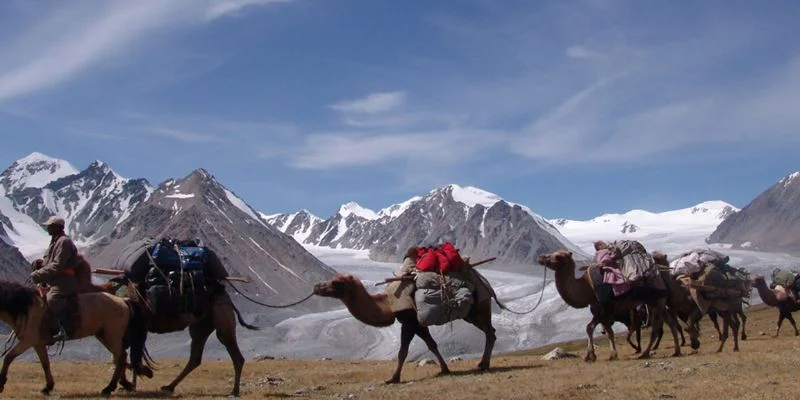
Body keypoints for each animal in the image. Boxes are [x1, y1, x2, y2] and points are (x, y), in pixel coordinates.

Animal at [536, 248, 680, 360]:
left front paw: (612, 355)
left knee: (656, 327)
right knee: (670, 322)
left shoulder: (607, 307)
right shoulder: (597, 309)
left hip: (656, 301)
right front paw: (590, 356)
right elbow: (589, 328)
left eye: (558, 256)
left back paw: (645, 353)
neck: (587, 287)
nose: (540, 257)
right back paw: (675, 351)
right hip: (658, 302)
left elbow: (609, 331)